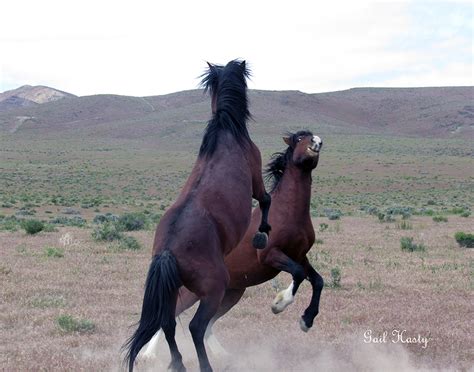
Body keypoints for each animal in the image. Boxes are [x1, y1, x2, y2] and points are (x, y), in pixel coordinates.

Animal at [124, 59, 272, 370]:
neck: (227, 131)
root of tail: (168, 252)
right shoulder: (256, 179)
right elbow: (266, 200)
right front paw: (262, 236)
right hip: (214, 289)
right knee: (195, 327)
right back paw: (205, 365)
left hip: (174, 291)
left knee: (168, 323)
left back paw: (178, 363)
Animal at [143, 132, 324, 358]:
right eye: (300, 138)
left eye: (312, 136)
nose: (317, 142)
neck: (288, 212)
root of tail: (175, 255)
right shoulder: (271, 255)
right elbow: (298, 273)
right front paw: (278, 304)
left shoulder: (300, 255)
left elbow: (317, 281)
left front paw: (306, 321)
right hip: (193, 294)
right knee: (172, 316)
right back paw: (148, 354)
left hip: (231, 294)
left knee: (208, 325)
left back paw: (223, 355)